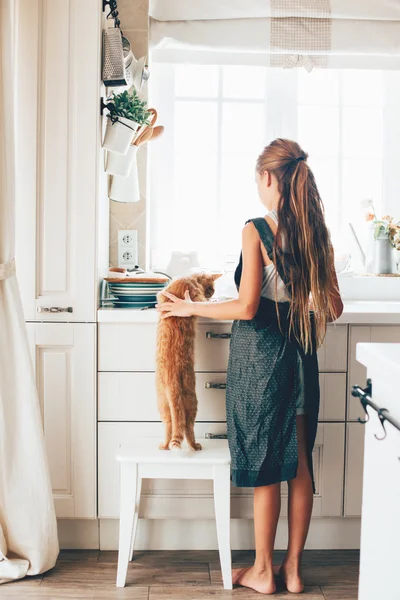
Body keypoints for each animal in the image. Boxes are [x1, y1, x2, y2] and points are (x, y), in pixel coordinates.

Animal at [155, 272, 222, 450]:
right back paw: (196, 446)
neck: (188, 279)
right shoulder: (197, 298)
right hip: (192, 401)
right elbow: (202, 303)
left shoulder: (161, 296)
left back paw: (164, 446)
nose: (212, 295)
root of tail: (171, 380)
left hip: (163, 405)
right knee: (188, 427)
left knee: (170, 426)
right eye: (211, 290)